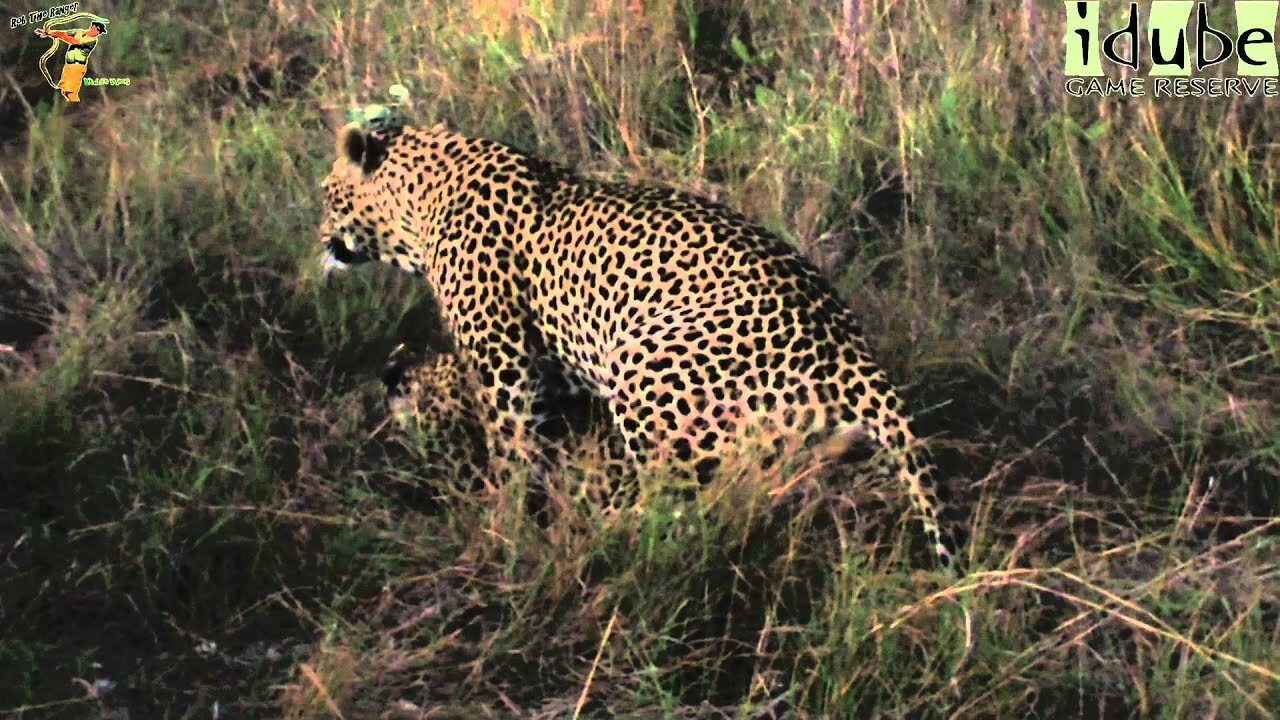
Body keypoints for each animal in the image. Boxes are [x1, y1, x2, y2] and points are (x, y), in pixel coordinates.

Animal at [317, 114, 962, 568]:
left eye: (326, 196)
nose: (321, 240)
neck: (420, 199)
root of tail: (847, 345)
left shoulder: (504, 363)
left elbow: (509, 448)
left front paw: (505, 524)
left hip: (644, 367)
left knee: (683, 508)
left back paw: (607, 538)